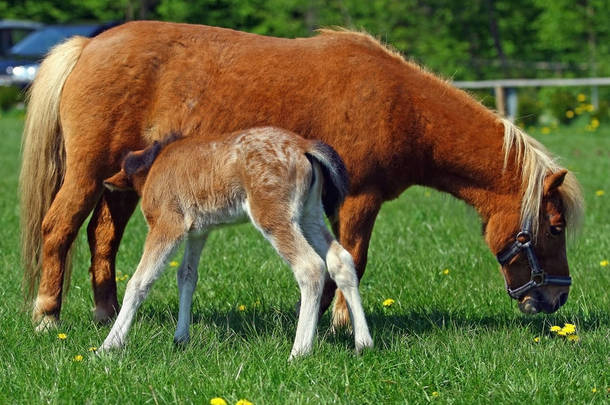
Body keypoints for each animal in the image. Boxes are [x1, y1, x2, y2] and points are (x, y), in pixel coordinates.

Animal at [20, 20, 580, 330]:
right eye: (554, 229)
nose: (555, 298)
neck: (399, 105)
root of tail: (87, 46)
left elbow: (333, 263)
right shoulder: (359, 201)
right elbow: (354, 259)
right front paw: (340, 325)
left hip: (121, 184)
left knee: (102, 238)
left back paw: (106, 314)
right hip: (87, 175)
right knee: (59, 229)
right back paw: (47, 317)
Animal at [98, 126, 370, 356]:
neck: (155, 164)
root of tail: (304, 145)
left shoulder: (167, 225)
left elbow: (140, 281)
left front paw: (108, 346)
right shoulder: (198, 232)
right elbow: (186, 275)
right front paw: (181, 338)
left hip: (273, 215)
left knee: (310, 266)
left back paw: (299, 352)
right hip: (309, 214)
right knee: (341, 259)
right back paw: (363, 343)